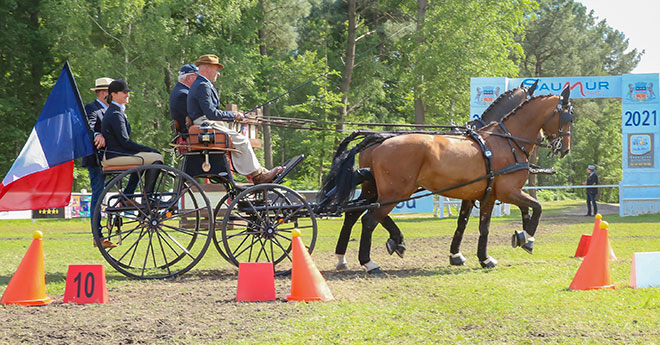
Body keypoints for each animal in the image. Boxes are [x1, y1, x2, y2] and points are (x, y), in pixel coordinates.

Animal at [320, 86, 572, 272]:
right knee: (369, 220)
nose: (565, 149)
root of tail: (378, 139)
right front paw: (525, 238)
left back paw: (345, 257)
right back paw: (370, 261)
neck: (505, 142)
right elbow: (535, 208)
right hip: (395, 193)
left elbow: (473, 225)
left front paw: (469, 256)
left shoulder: (480, 195)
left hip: (373, 190)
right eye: (568, 116)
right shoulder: (507, 192)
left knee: (353, 214)